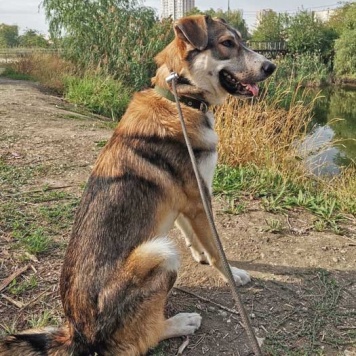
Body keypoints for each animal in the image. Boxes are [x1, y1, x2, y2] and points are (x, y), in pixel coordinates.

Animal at [0, 14, 276, 356]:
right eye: (227, 43)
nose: (271, 66)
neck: (180, 99)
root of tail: (76, 332)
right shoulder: (200, 200)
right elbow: (216, 250)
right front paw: (232, 274)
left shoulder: (186, 203)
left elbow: (195, 237)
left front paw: (199, 255)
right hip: (158, 252)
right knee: (142, 339)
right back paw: (180, 322)